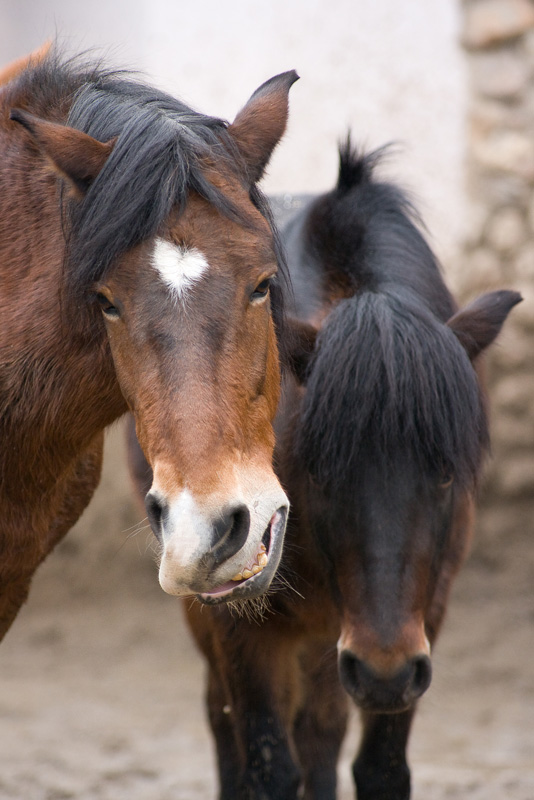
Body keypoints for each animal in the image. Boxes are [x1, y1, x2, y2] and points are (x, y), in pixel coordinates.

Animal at [125, 144, 520, 800]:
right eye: (323, 472)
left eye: (445, 475)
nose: (384, 673)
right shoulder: (242, 626)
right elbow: (266, 763)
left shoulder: (424, 614)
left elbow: (378, 767)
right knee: (226, 721)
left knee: (321, 730)